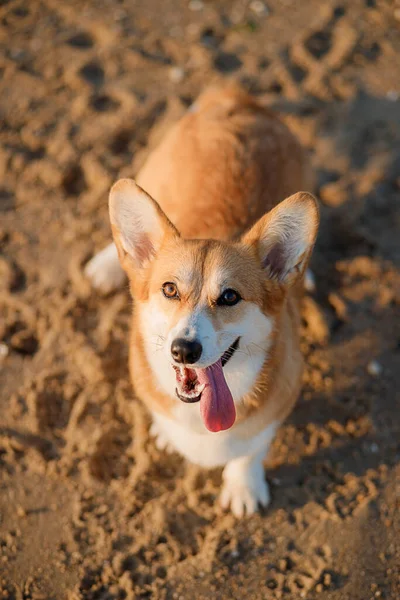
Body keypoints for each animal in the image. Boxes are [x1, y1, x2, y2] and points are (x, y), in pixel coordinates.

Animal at [85, 84, 318, 516]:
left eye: (229, 296)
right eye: (169, 289)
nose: (183, 350)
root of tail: (234, 98)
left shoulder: (276, 409)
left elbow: (252, 449)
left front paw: (243, 486)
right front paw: (166, 433)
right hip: (150, 174)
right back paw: (105, 266)